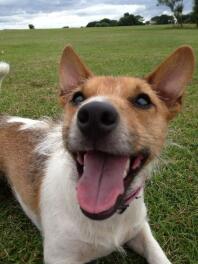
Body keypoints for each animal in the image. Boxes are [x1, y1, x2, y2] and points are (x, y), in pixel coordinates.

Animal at [0, 46, 195, 264]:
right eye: (77, 98)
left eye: (143, 100)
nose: (94, 114)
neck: (108, 217)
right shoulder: (60, 257)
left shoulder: (140, 228)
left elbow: (158, 255)